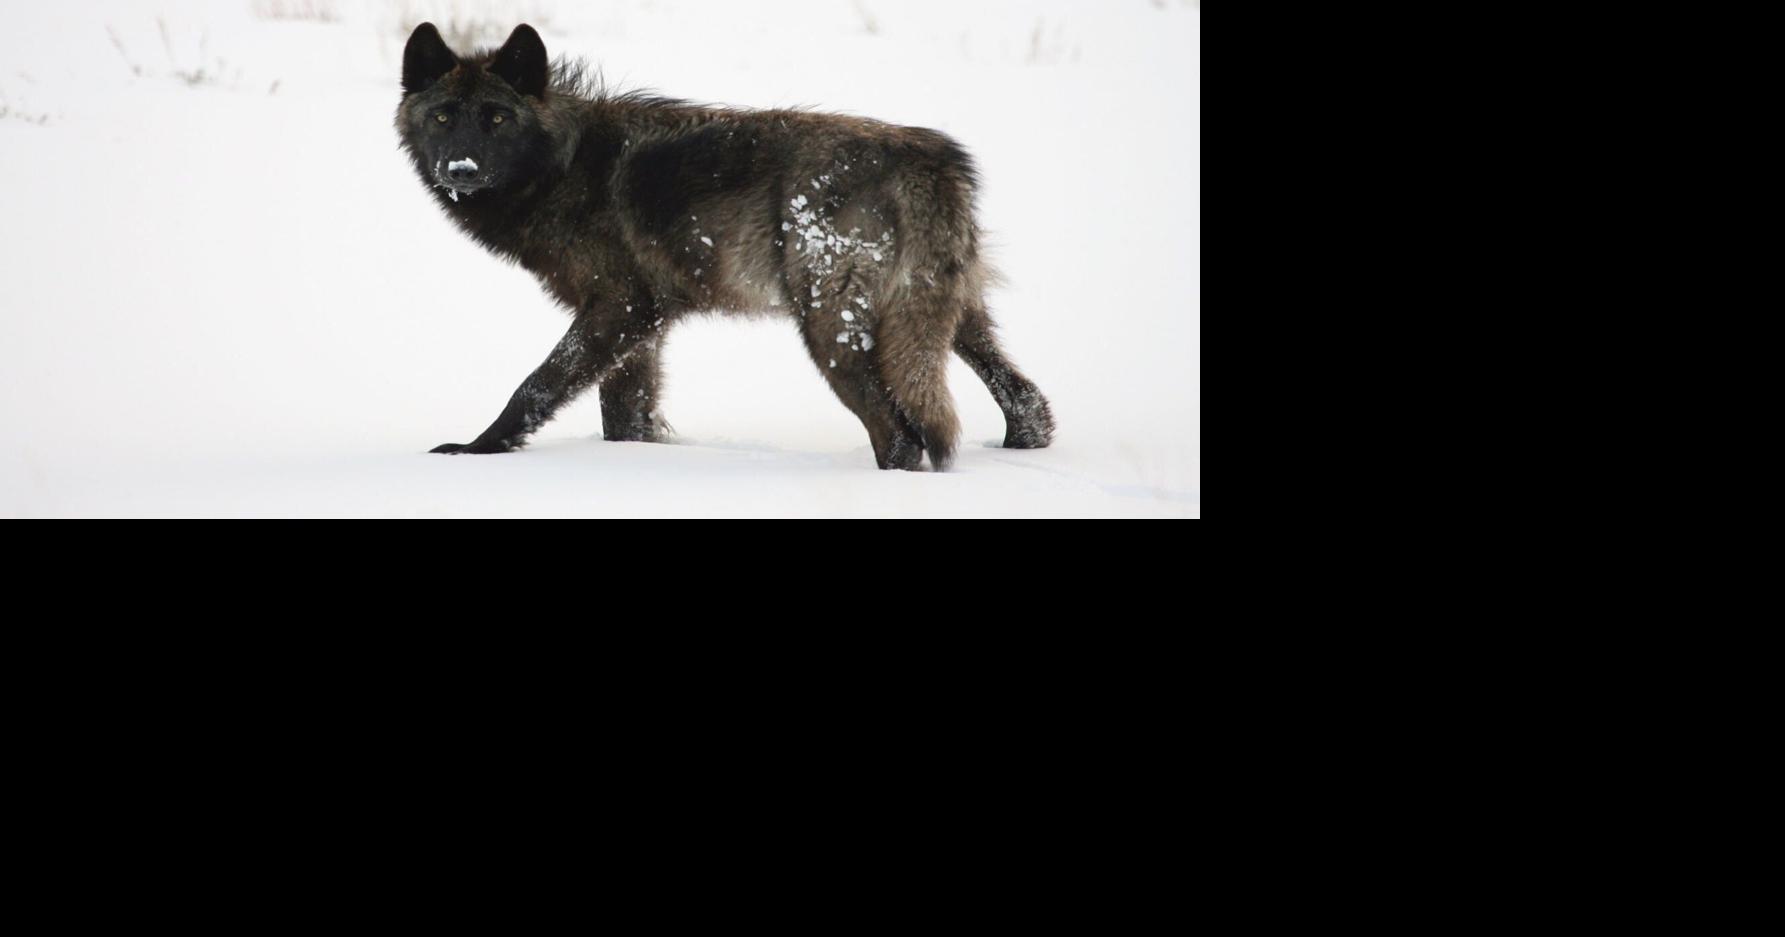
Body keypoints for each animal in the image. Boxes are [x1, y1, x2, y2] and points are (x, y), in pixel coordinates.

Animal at [396, 23, 1053, 470]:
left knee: (900, 435)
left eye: (497, 119)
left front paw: (476, 450)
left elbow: (535, 384)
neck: (563, 166)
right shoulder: (643, 326)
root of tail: (929, 159)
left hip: (832, 333)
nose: (461, 169)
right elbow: (625, 416)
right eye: (443, 117)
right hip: (949, 319)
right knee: (1027, 402)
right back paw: (1021, 446)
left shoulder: (618, 309)